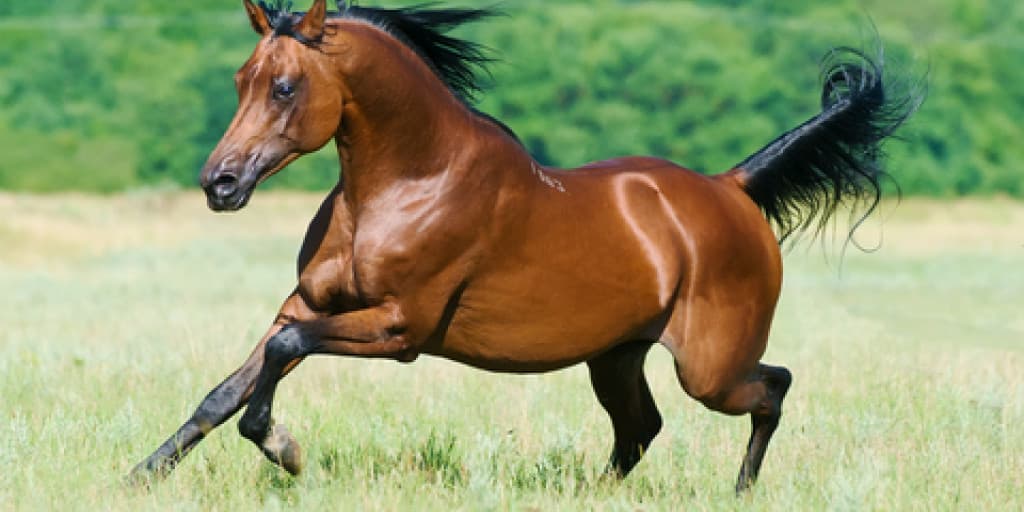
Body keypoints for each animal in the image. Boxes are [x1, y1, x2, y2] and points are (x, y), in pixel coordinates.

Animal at [130, 0, 920, 493]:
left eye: (286, 86)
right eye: (242, 79)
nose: (220, 183)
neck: (409, 181)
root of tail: (733, 188)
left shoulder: (398, 329)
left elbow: (279, 360)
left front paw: (284, 450)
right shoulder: (305, 304)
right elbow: (229, 386)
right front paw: (143, 473)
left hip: (710, 367)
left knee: (772, 388)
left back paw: (742, 491)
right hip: (617, 356)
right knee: (641, 430)